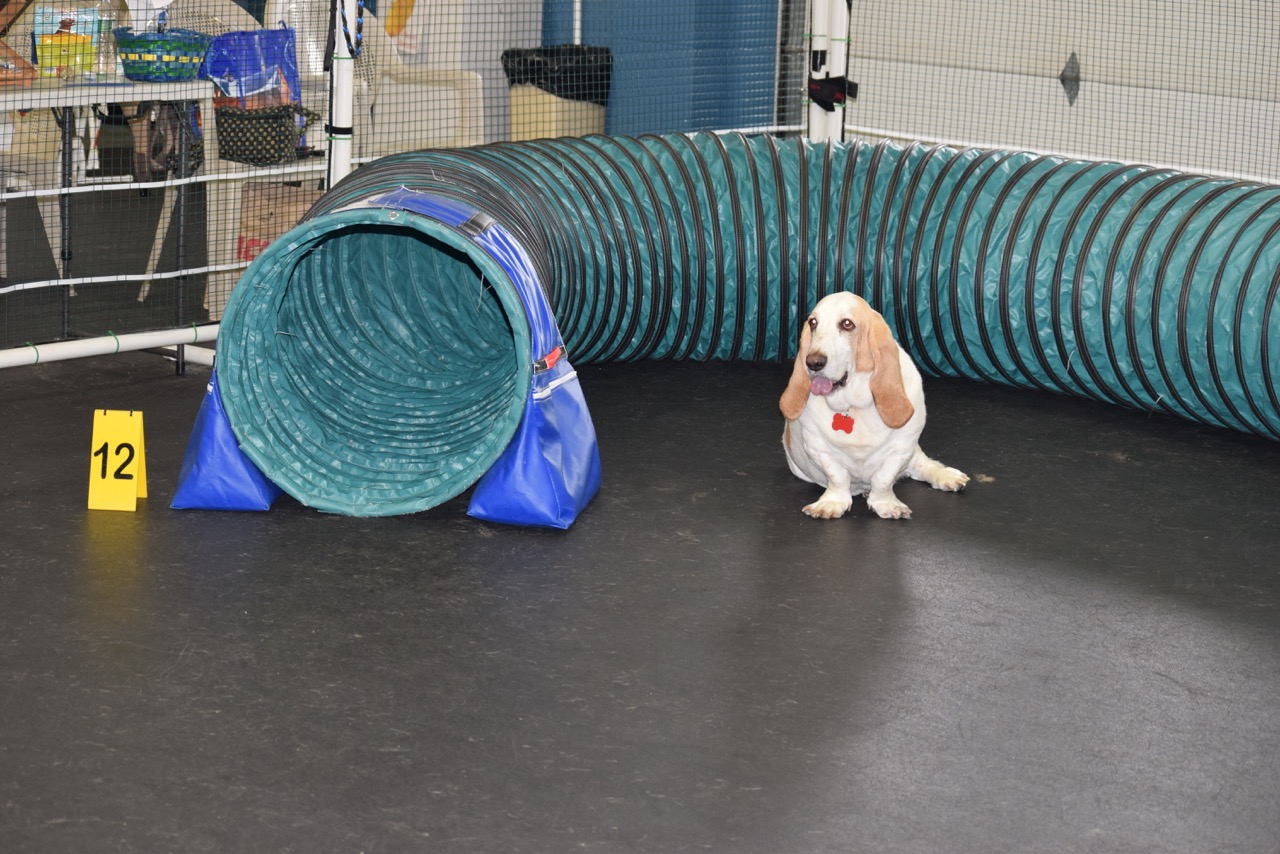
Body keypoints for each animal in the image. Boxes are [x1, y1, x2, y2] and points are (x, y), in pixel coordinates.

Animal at [778, 291, 967, 522]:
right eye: (813, 323)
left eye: (847, 324)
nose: (813, 362)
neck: (852, 407)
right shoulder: (819, 449)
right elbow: (838, 477)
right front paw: (832, 503)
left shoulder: (901, 449)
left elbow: (883, 479)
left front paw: (885, 504)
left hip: (913, 453)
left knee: (922, 464)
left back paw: (946, 476)